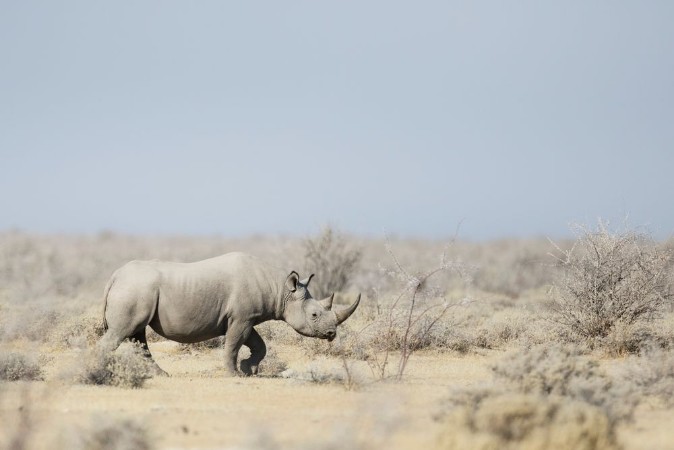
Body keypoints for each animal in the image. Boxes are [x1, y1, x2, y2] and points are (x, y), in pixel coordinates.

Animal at [97, 252, 360, 376]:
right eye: (314, 315)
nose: (331, 333)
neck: (281, 290)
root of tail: (115, 276)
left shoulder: (246, 317)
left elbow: (259, 345)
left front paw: (248, 369)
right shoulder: (242, 317)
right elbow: (234, 344)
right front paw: (236, 373)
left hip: (138, 289)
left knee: (137, 335)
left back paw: (161, 375)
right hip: (135, 289)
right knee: (123, 331)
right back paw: (97, 369)